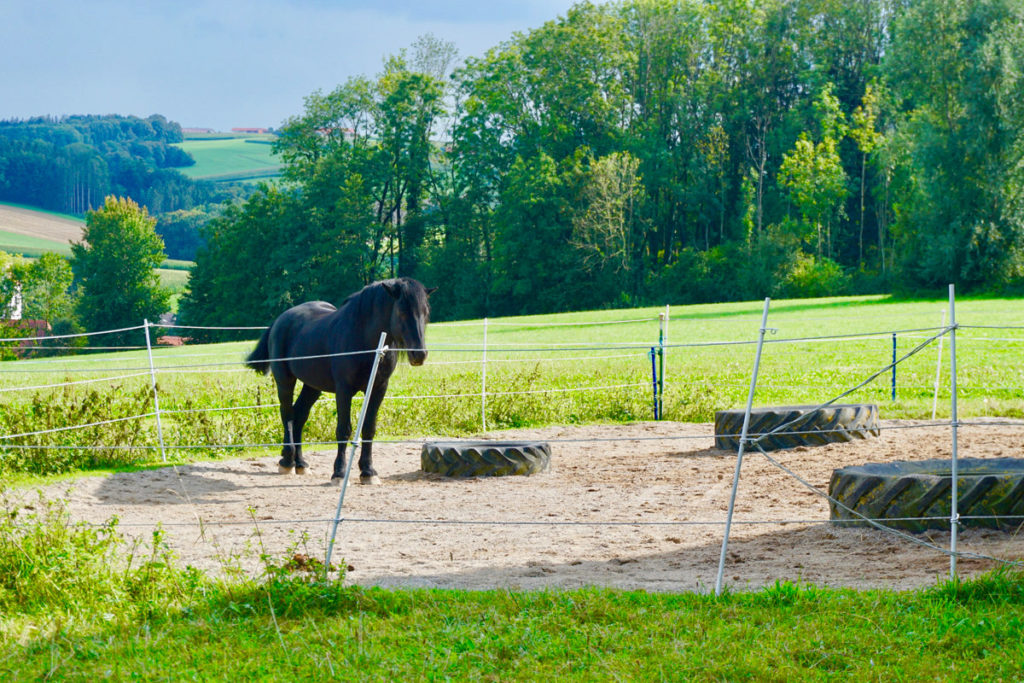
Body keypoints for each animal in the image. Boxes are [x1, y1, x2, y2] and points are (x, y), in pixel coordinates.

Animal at [245, 276, 434, 481]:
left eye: (426, 313)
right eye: (402, 311)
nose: (419, 354)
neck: (364, 340)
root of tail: (280, 320)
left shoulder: (378, 389)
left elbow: (369, 428)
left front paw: (368, 471)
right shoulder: (344, 389)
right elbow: (344, 429)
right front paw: (339, 472)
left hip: (312, 386)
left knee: (299, 415)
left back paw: (301, 463)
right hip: (285, 381)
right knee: (287, 415)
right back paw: (287, 461)